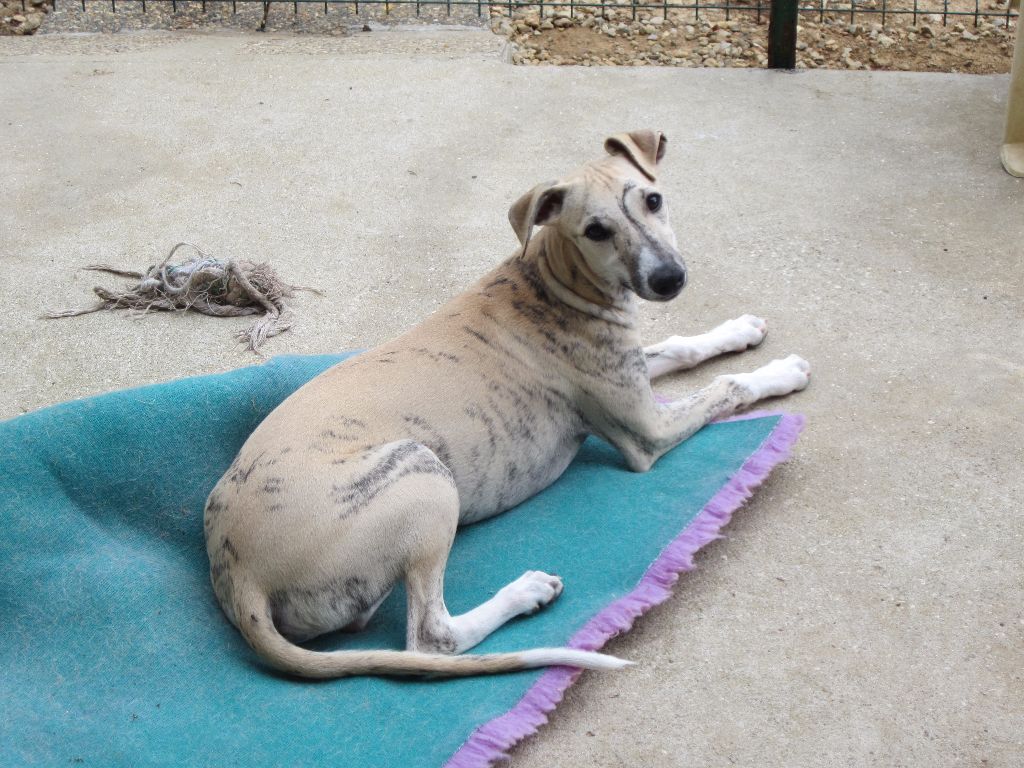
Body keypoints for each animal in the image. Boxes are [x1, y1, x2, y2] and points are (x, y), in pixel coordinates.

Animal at [203, 131, 811, 679]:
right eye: (596, 230)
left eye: (653, 200)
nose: (669, 279)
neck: (552, 279)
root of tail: (238, 576)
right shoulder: (646, 431)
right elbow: (728, 388)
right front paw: (780, 372)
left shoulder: (631, 375)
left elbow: (684, 345)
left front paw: (741, 330)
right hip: (422, 476)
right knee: (432, 638)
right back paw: (524, 593)